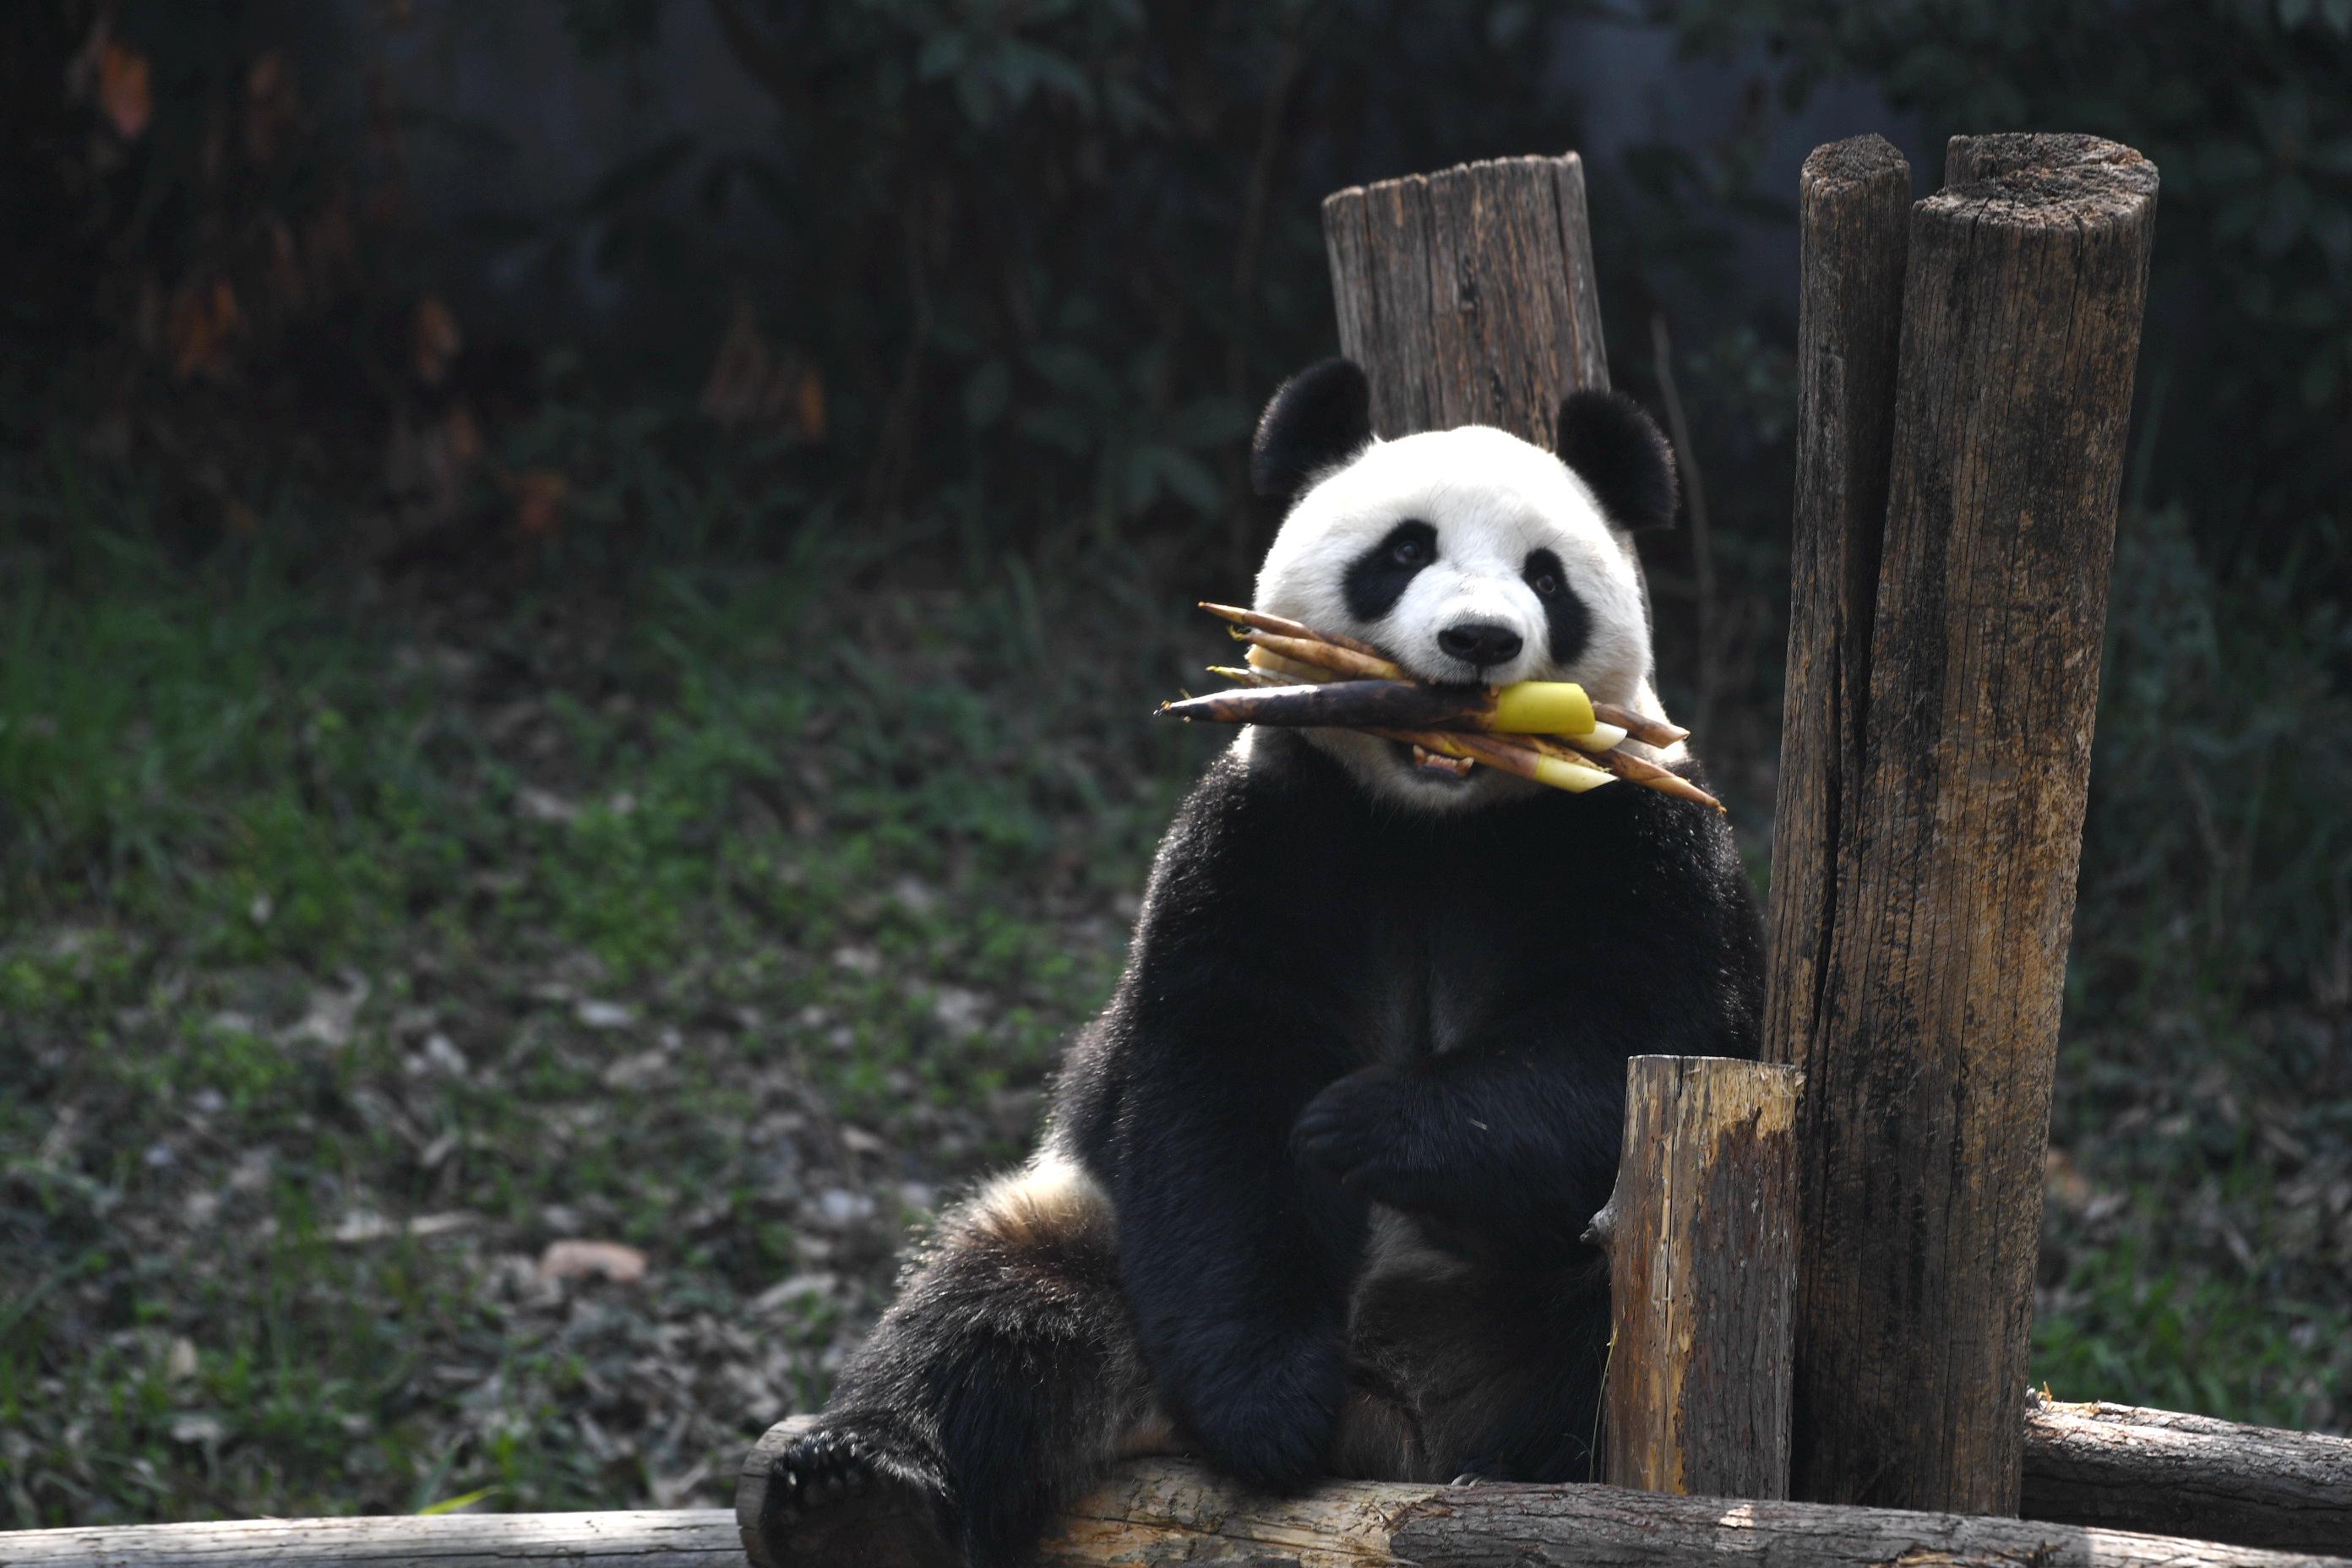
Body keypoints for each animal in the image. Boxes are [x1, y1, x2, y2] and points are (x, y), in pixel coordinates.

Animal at [757, 358, 1764, 1568]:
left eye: (1546, 575)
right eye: (1404, 551)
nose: (1480, 640)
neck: (1438, 820)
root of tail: (1393, 1420)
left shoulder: (1636, 834)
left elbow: (1634, 1039)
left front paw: (1362, 1123)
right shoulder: (1267, 830)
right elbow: (1221, 1084)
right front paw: (1268, 1408)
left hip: (1551, 1289)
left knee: (1589, 1315)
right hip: (1104, 1245)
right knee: (995, 1311)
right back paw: (859, 1496)